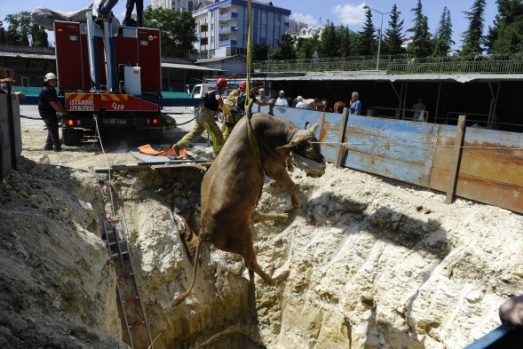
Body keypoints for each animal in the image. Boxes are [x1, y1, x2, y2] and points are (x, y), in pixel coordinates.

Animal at [174, 112, 326, 304]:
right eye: (309, 149)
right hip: (244, 240)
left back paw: (281, 216)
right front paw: (297, 206)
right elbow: (291, 185)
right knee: (251, 262)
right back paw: (273, 279)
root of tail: (204, 231)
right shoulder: (273, 167)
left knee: (255, 218)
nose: (322, 166)